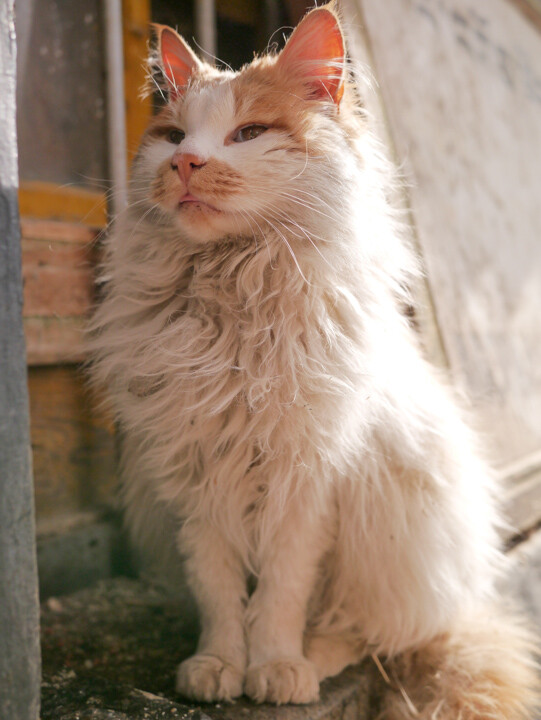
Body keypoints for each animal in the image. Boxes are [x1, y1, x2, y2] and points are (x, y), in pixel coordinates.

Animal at [87, 2, 536, 716]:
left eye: (247, 133)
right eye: (173, 136)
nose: (185, 163)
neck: (232, 303)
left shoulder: (307, 485)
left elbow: (281, 594)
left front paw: (273, 667)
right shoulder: (197, 482)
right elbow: (218, 592)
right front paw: (218, 665)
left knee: (373, 636)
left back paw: (312, 662)